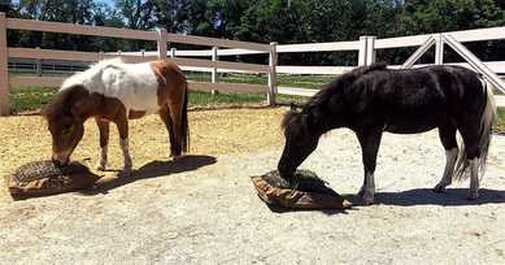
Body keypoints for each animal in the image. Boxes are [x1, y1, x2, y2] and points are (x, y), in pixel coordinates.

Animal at [42, 57, 189, 174]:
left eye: (67, 129)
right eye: (50, 130)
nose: (56, 161)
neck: (104, 90)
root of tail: (177, 69)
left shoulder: (121, 119)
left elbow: (123, 143)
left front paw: (127, 166)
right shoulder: (101, 121)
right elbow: (103, 142)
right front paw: (101, 165)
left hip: (175, 104)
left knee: (176, 126)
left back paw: (177, 155)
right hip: (161, 109)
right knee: (169, 127)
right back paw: (172, 152)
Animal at [280, 63, 496, 203]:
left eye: (299, 139)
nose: (282, 169)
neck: (357, 94)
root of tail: (479, 78)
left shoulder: (373, 132)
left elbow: (370, 161)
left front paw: (368, 196)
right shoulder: (362, 134)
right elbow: (365, 161)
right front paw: (362, 190)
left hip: (467, 125)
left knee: (473, 154)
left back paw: (473, 192)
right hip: (446, 126)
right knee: (452, 151)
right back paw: (441, 185)